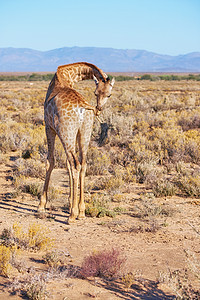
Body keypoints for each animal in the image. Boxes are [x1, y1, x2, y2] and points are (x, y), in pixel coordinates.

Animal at [37, 62, 115, 224]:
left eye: (108, 95)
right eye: (96, 93)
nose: (99, 108)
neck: (66, 76)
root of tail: (83, 107)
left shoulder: (49, 127)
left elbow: (50, 162)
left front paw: (41, 205)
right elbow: (66, 164)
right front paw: (69, 201)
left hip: (67, 133)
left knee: (75, 164)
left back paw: (72, 215)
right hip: (84, 133)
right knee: (83, 164)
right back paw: (82, 211)